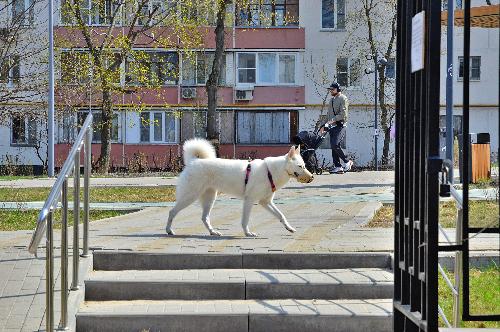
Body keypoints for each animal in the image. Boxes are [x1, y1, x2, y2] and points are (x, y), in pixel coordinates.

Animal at [166, 139, 314, 237]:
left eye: (304, 166)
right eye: (300, 166)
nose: (312, 177)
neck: (271, 171)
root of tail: (194, 161)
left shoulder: (265, 202)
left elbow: (281, 215)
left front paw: (289, 228)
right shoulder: (249, 200)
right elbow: (245, 220)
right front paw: (248, 233)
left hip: (210, 198)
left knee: (204, 217)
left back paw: (213, 232)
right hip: (190, 196)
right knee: (172, 212)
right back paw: (169, 230)